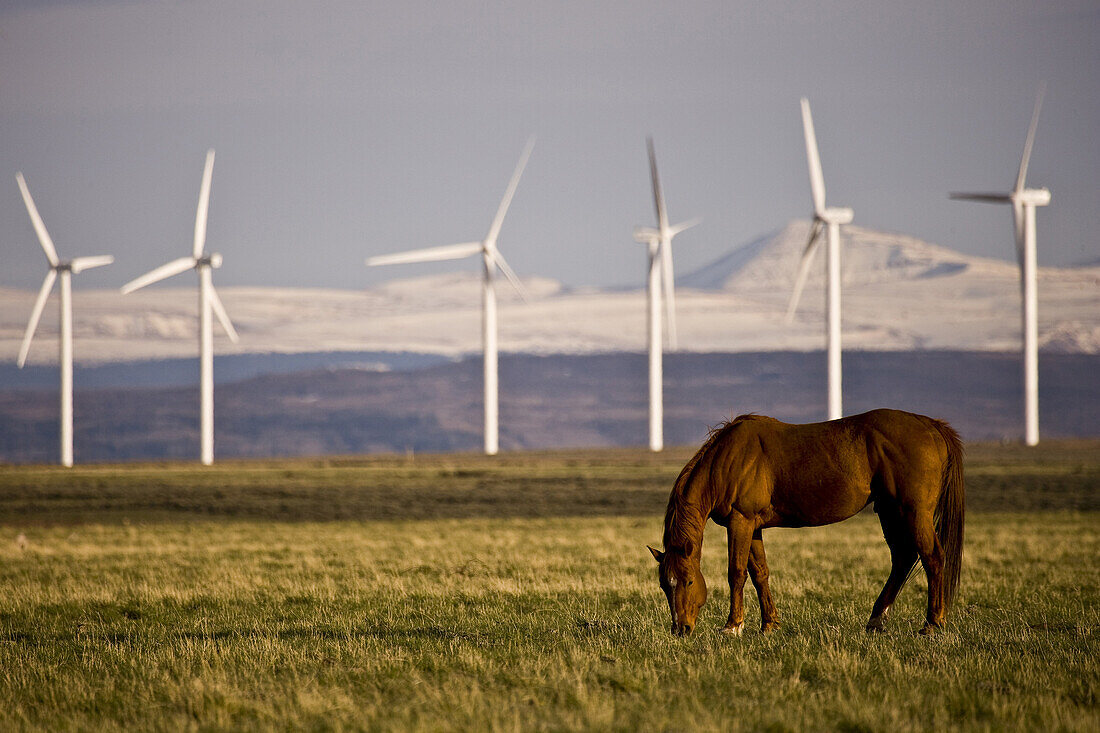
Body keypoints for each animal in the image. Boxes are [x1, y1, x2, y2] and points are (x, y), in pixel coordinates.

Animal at [646, 407, 968, 638]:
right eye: (664, 585)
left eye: (688, 581)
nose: (681, 629)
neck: (727, 462)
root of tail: (932, 426)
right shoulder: (754, 527)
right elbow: (760, 573)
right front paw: (769, 625)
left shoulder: (740, 522)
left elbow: (736, 572)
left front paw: (733, 626)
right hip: (889, 512)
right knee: (903, 559)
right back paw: (876, 620)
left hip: (914, 512)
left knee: (932, 557)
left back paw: (932, 624)